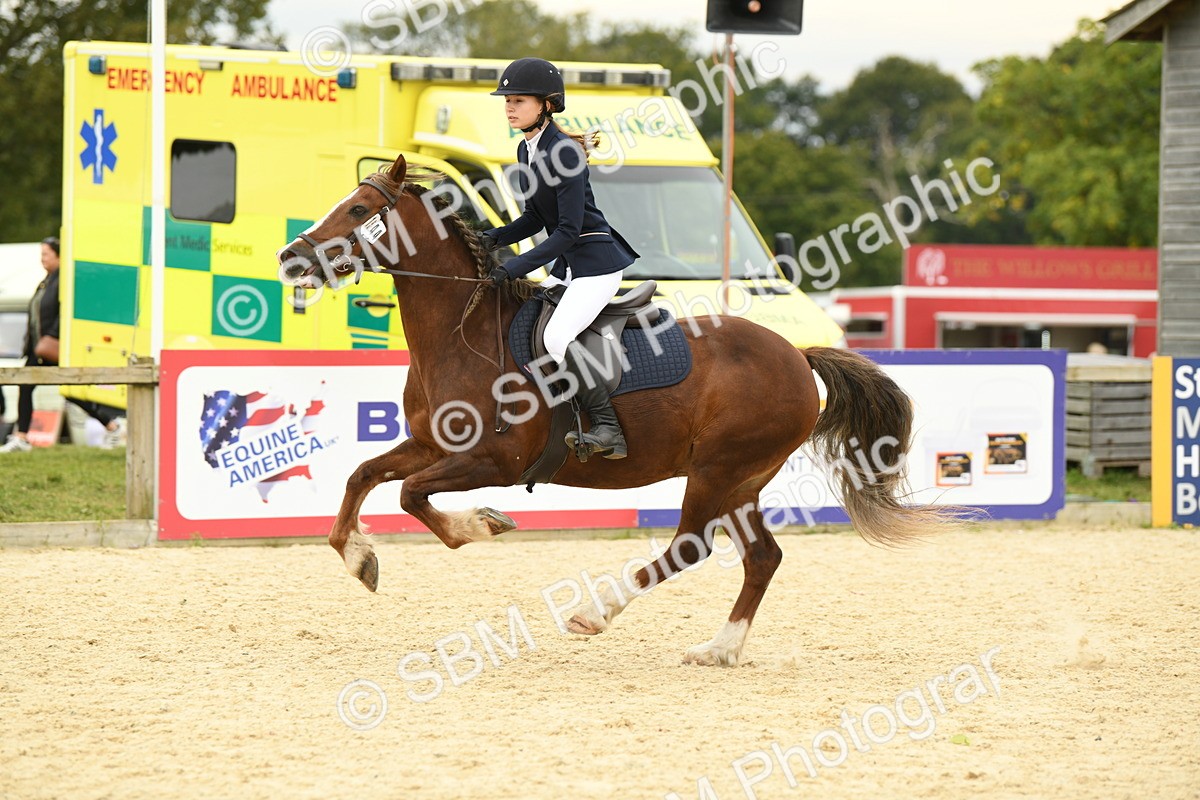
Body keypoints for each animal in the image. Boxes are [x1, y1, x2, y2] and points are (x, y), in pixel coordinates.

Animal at [278, 154, 953, 666]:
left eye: (357, 210)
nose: (291, 258)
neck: (461, 332)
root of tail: (795, 353)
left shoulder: (492, 461)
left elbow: (411, 496)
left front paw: (481, 525)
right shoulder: (432, 445)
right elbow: (363, 476)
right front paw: (360, 557)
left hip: (718, 470)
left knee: (690, 547)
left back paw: (595, 614)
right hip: (742, 480)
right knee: (762, 557)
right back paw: (719, 649)